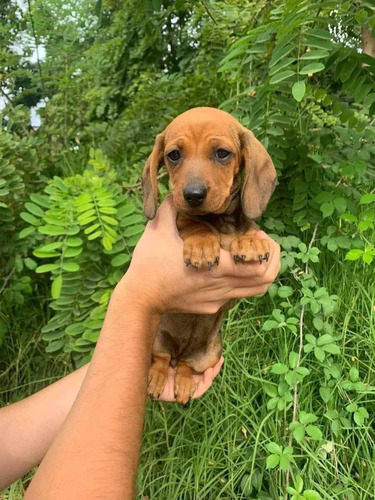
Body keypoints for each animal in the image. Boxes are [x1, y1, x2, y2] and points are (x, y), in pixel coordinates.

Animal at [141, 107, 276, 404]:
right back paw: (155, 379)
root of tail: (181, 351)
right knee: (161, 360)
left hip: (210, 354)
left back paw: (183, 383)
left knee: (185, 367)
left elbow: (249, 228)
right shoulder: (182, 219)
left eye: (222, 153)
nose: (193, 195)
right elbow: (194, 224)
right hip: (157, 340)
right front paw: (203, 244)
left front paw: (249, 242)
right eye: (173, 155)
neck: (219, 221)